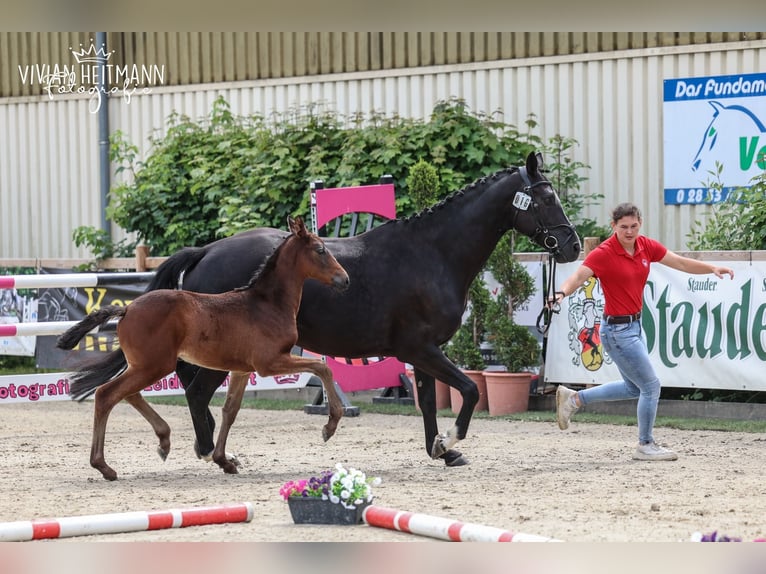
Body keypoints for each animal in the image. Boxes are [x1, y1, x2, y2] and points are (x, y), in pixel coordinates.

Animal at [56, 216, 349, 480]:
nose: (345, 279)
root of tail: (127, 309)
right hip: (155, 365)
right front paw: (330, 425)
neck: (266, 304)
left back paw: (164, 441)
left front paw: (224, 461)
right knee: (106, 394)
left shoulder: (242, 370)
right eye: (320, 249)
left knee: (128, 394)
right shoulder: (270, 362)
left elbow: (230, 410)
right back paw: (104, 467)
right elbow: (322, 367)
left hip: (145, 366)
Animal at [147, 151, 581, 469]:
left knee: (195, 390)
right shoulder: (419, 349)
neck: (432, 254)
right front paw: (452, 438)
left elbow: (427, 401)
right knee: (197, 390)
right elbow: (471, 390)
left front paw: (442, 449)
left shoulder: (422, 353)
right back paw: (212, 452)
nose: (572, 246)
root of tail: (206, 251)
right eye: (546, 199)